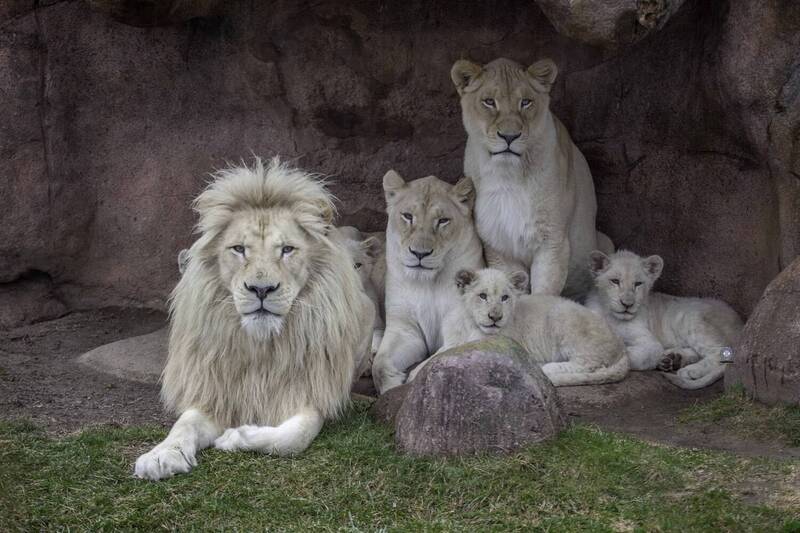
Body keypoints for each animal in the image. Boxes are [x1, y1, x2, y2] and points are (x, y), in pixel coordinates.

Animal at [134, 158, 373, 480]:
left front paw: (234, 437)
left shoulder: (310, 395)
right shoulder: (217, 392)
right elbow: (184, 424)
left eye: (287, 249)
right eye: (238, 249)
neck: (260, 346)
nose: (261, 289)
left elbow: (292, 438)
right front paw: (161, 455)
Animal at [370, 170, 484, 393]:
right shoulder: (404, 328)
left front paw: (414, 380)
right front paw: (391, 384)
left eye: (443, 220)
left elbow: (435, 359)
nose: (419, 253)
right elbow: (379, 365)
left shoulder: (462, 329)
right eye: (407, 216)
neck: (427, 283)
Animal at [408, 268, 629, 386]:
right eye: (482, 296)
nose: (495, 317)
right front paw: (413, 374)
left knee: (589, 365)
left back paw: (546, 367)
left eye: (505, 297)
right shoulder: (452, 342)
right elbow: (436, 355)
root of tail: (621, 345)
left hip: (562, 316)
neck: (470, 324)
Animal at [451, 57, 613, 299]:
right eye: (489, 102)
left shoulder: (552, 241)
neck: (507, 176)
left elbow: (544, 294)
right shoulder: (498, 245)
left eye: (526, 102)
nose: (509, 136)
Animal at [585, 250, 743, 389]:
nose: (627, 304)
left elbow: (632, 356)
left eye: (638, 284)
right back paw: (672, 359)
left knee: (721, 352)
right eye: (615, 281)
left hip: (692, 319)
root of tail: (740, 322)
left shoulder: (650, 343)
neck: (611, 316)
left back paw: (690, 370)